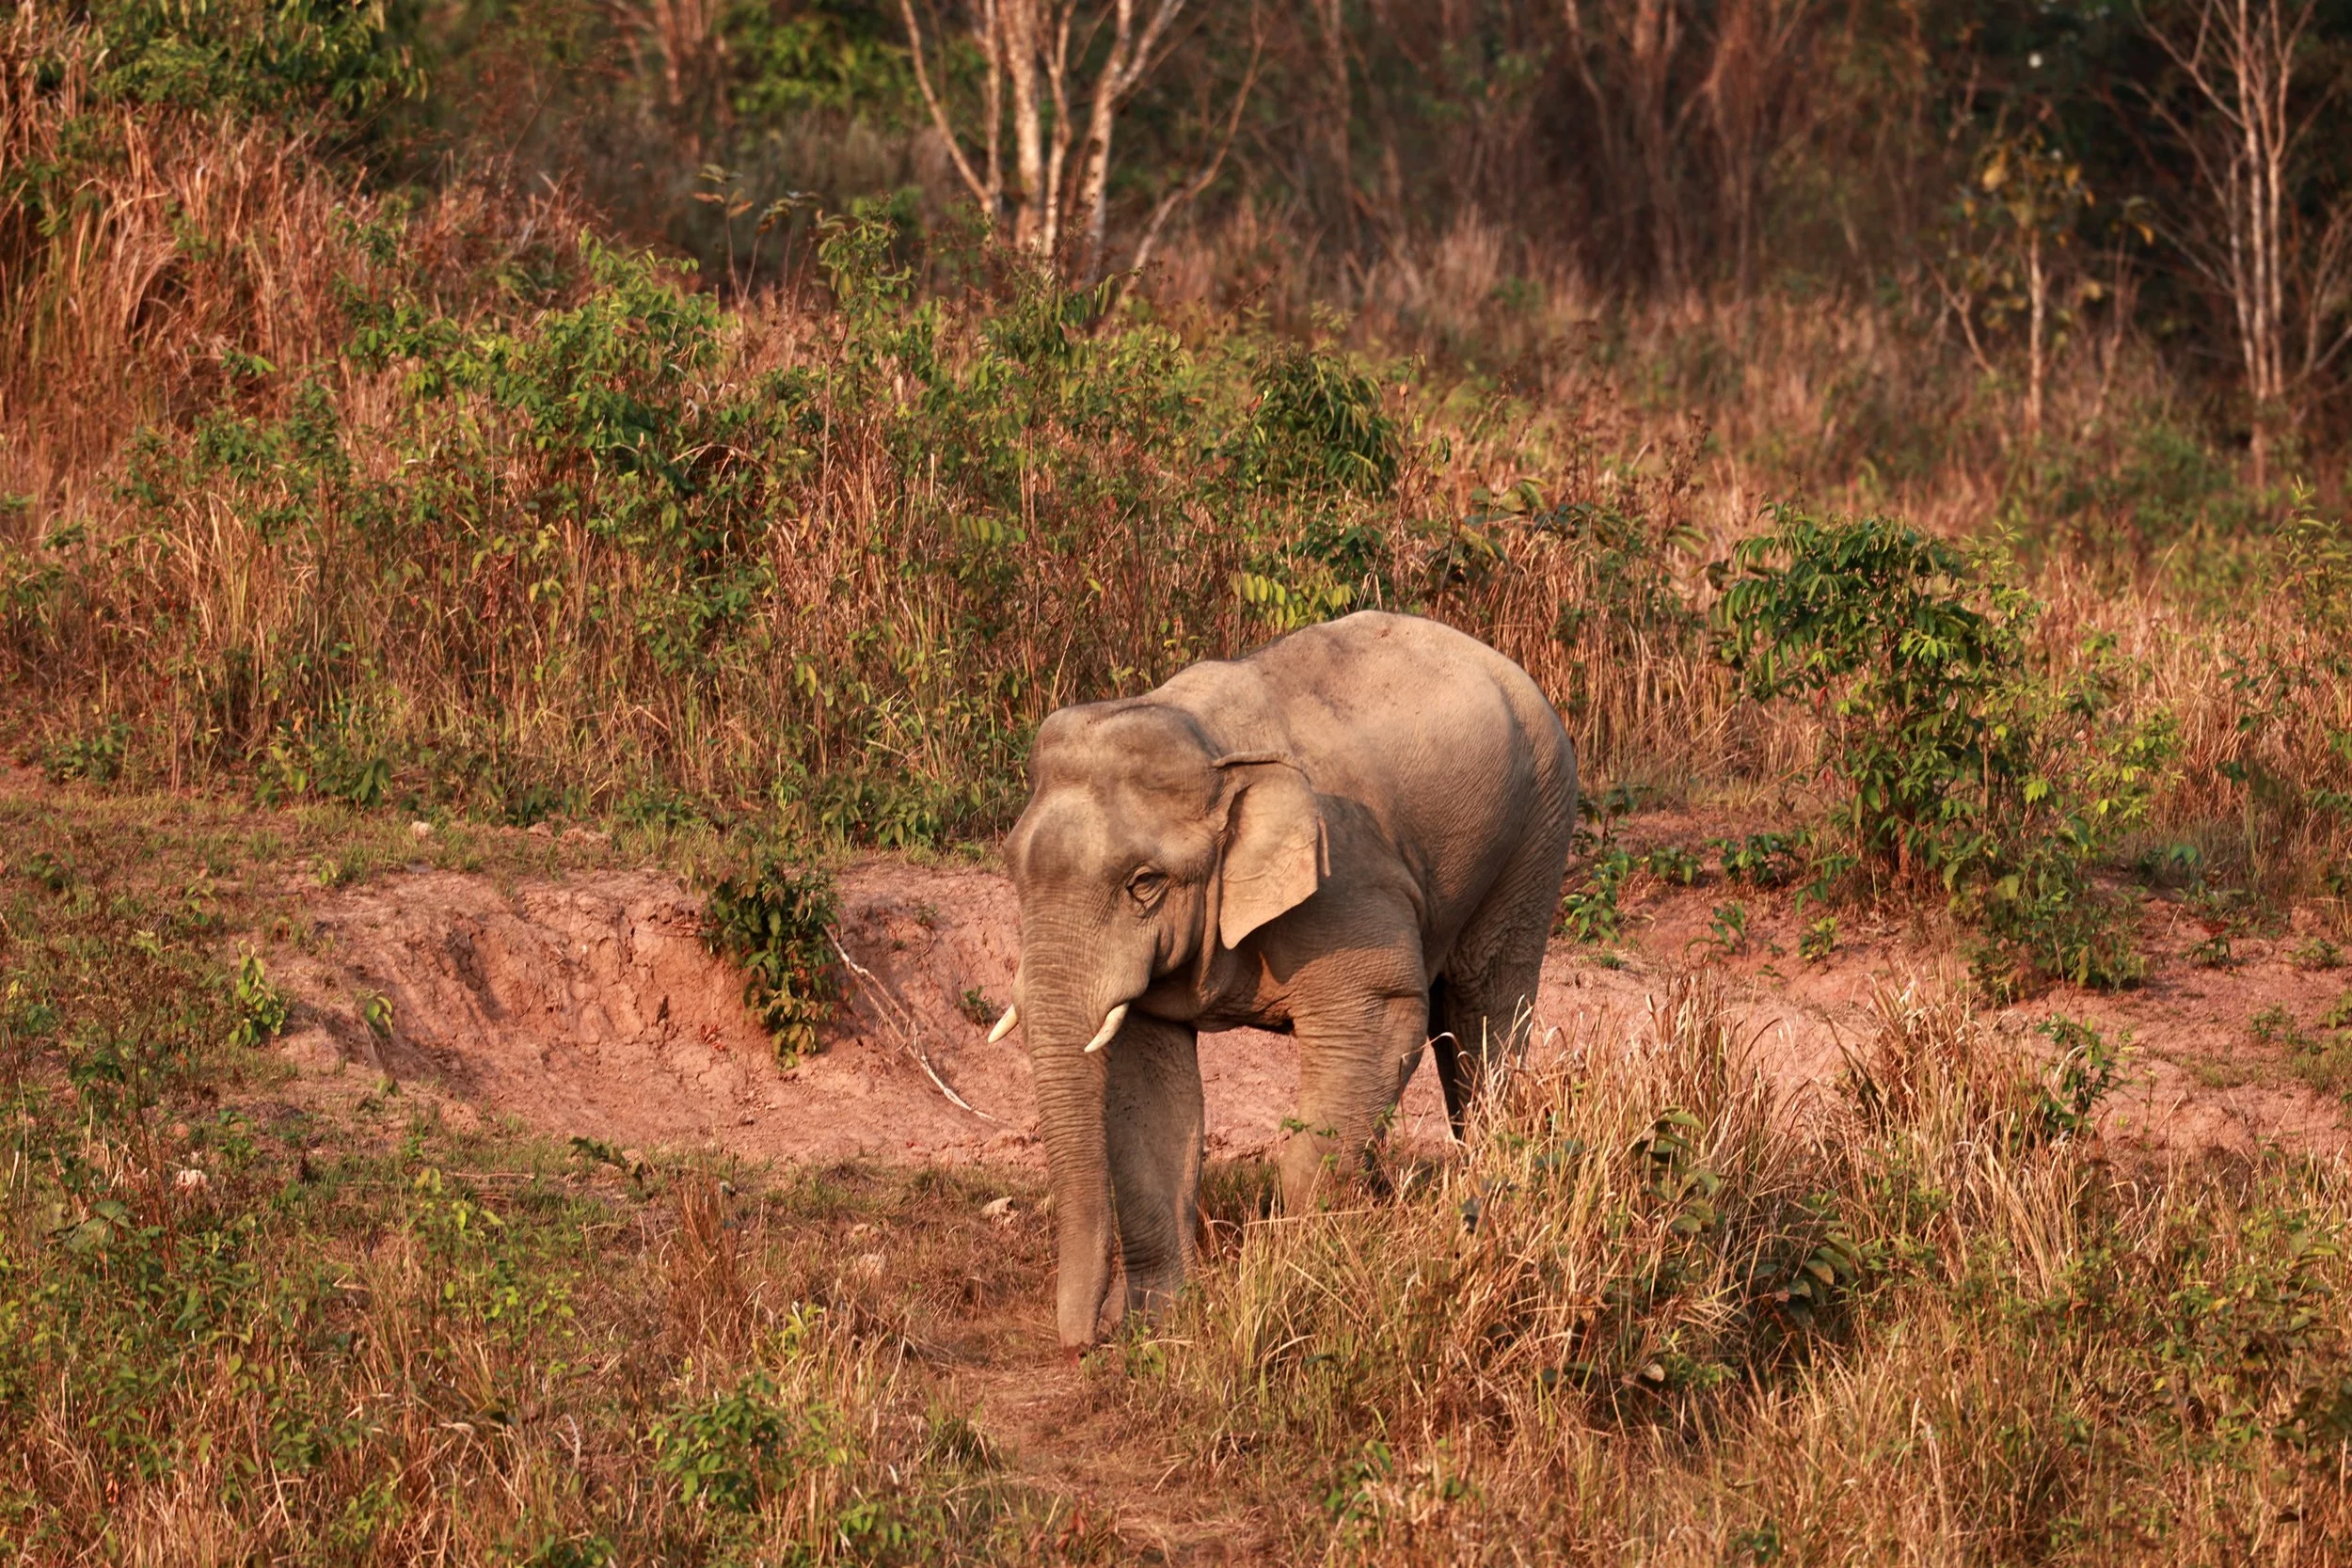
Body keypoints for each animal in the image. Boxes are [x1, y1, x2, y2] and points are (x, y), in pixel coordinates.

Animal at [995, 609, 1577, 1350]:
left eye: (1144, 884)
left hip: (1539, 826)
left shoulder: (1347, 881)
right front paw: (1160, 1325)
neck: (1210, 744)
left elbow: (1380, 1015)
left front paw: (1301, 1278)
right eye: (1013, 867)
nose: (1082, 1343)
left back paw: (1489, 1185)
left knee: (1485, 1004)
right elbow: (1144, 1086)